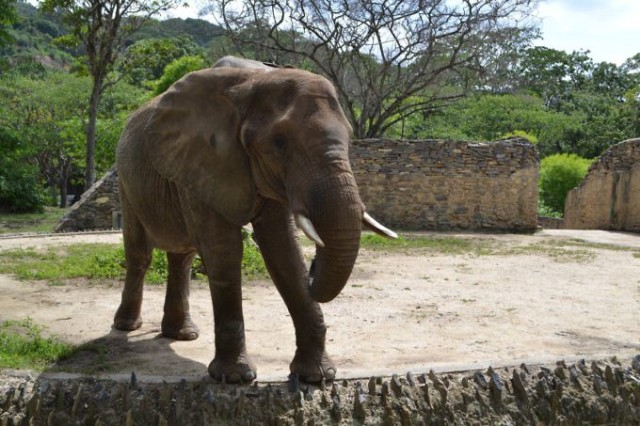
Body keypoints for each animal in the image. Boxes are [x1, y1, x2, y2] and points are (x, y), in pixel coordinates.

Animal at [114, 55, 396, 384]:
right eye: (280, 142)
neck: (255, 80)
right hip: (125, 180)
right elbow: (224, 249)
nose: (314, 267)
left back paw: (183, 335)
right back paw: (126, 327)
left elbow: (282, 250)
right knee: (139, 253)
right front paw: (235, 377)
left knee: (182, 257)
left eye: (350, 138)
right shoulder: (202, 159)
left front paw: (316, 377)